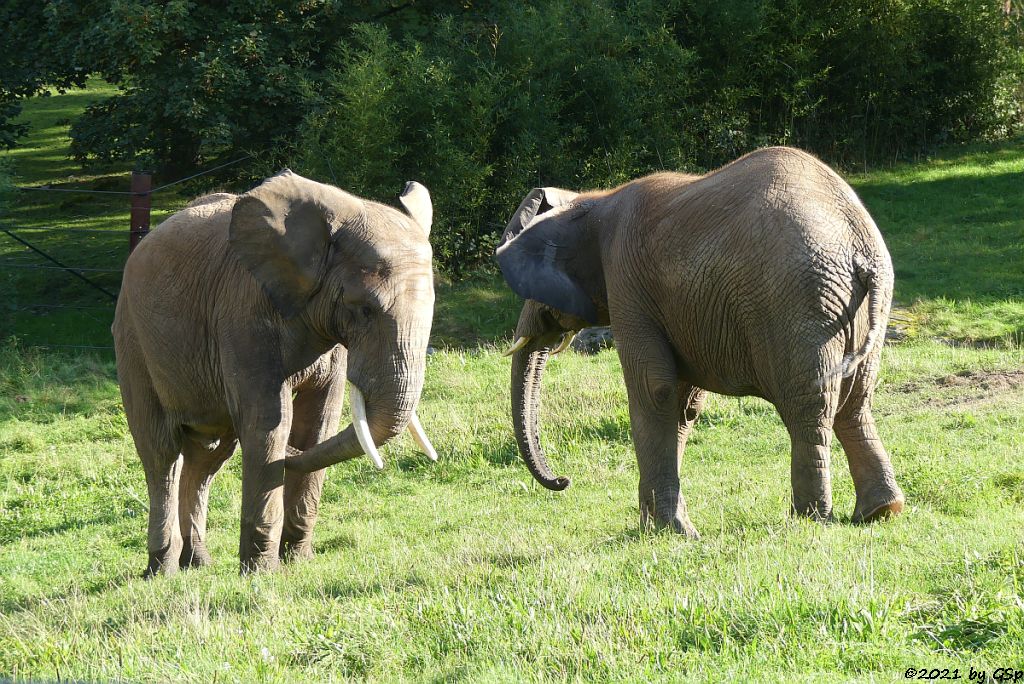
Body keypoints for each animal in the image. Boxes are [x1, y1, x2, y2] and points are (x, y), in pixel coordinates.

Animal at [114, 167, 438, 573]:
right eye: (363, 309)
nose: (290, 457)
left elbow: (318, 423)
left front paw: (298, 561)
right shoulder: (244, 313)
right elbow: (268, 425)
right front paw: (261, 573)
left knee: (208, 456)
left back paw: (198, 564)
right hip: (133, 339)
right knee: (162, 453)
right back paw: (162, 571)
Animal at [495, 147, 905, 536]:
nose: (564, 481)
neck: (592, 203)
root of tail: (859, 245)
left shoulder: (626, 279)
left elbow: (654, 389)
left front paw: (672, 530)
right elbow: (682, 403)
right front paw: (656, 528)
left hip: (799, 302)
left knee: (810, 409)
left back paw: (807, 521)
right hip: (860, 305)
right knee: (854, 403)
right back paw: (880, 511)